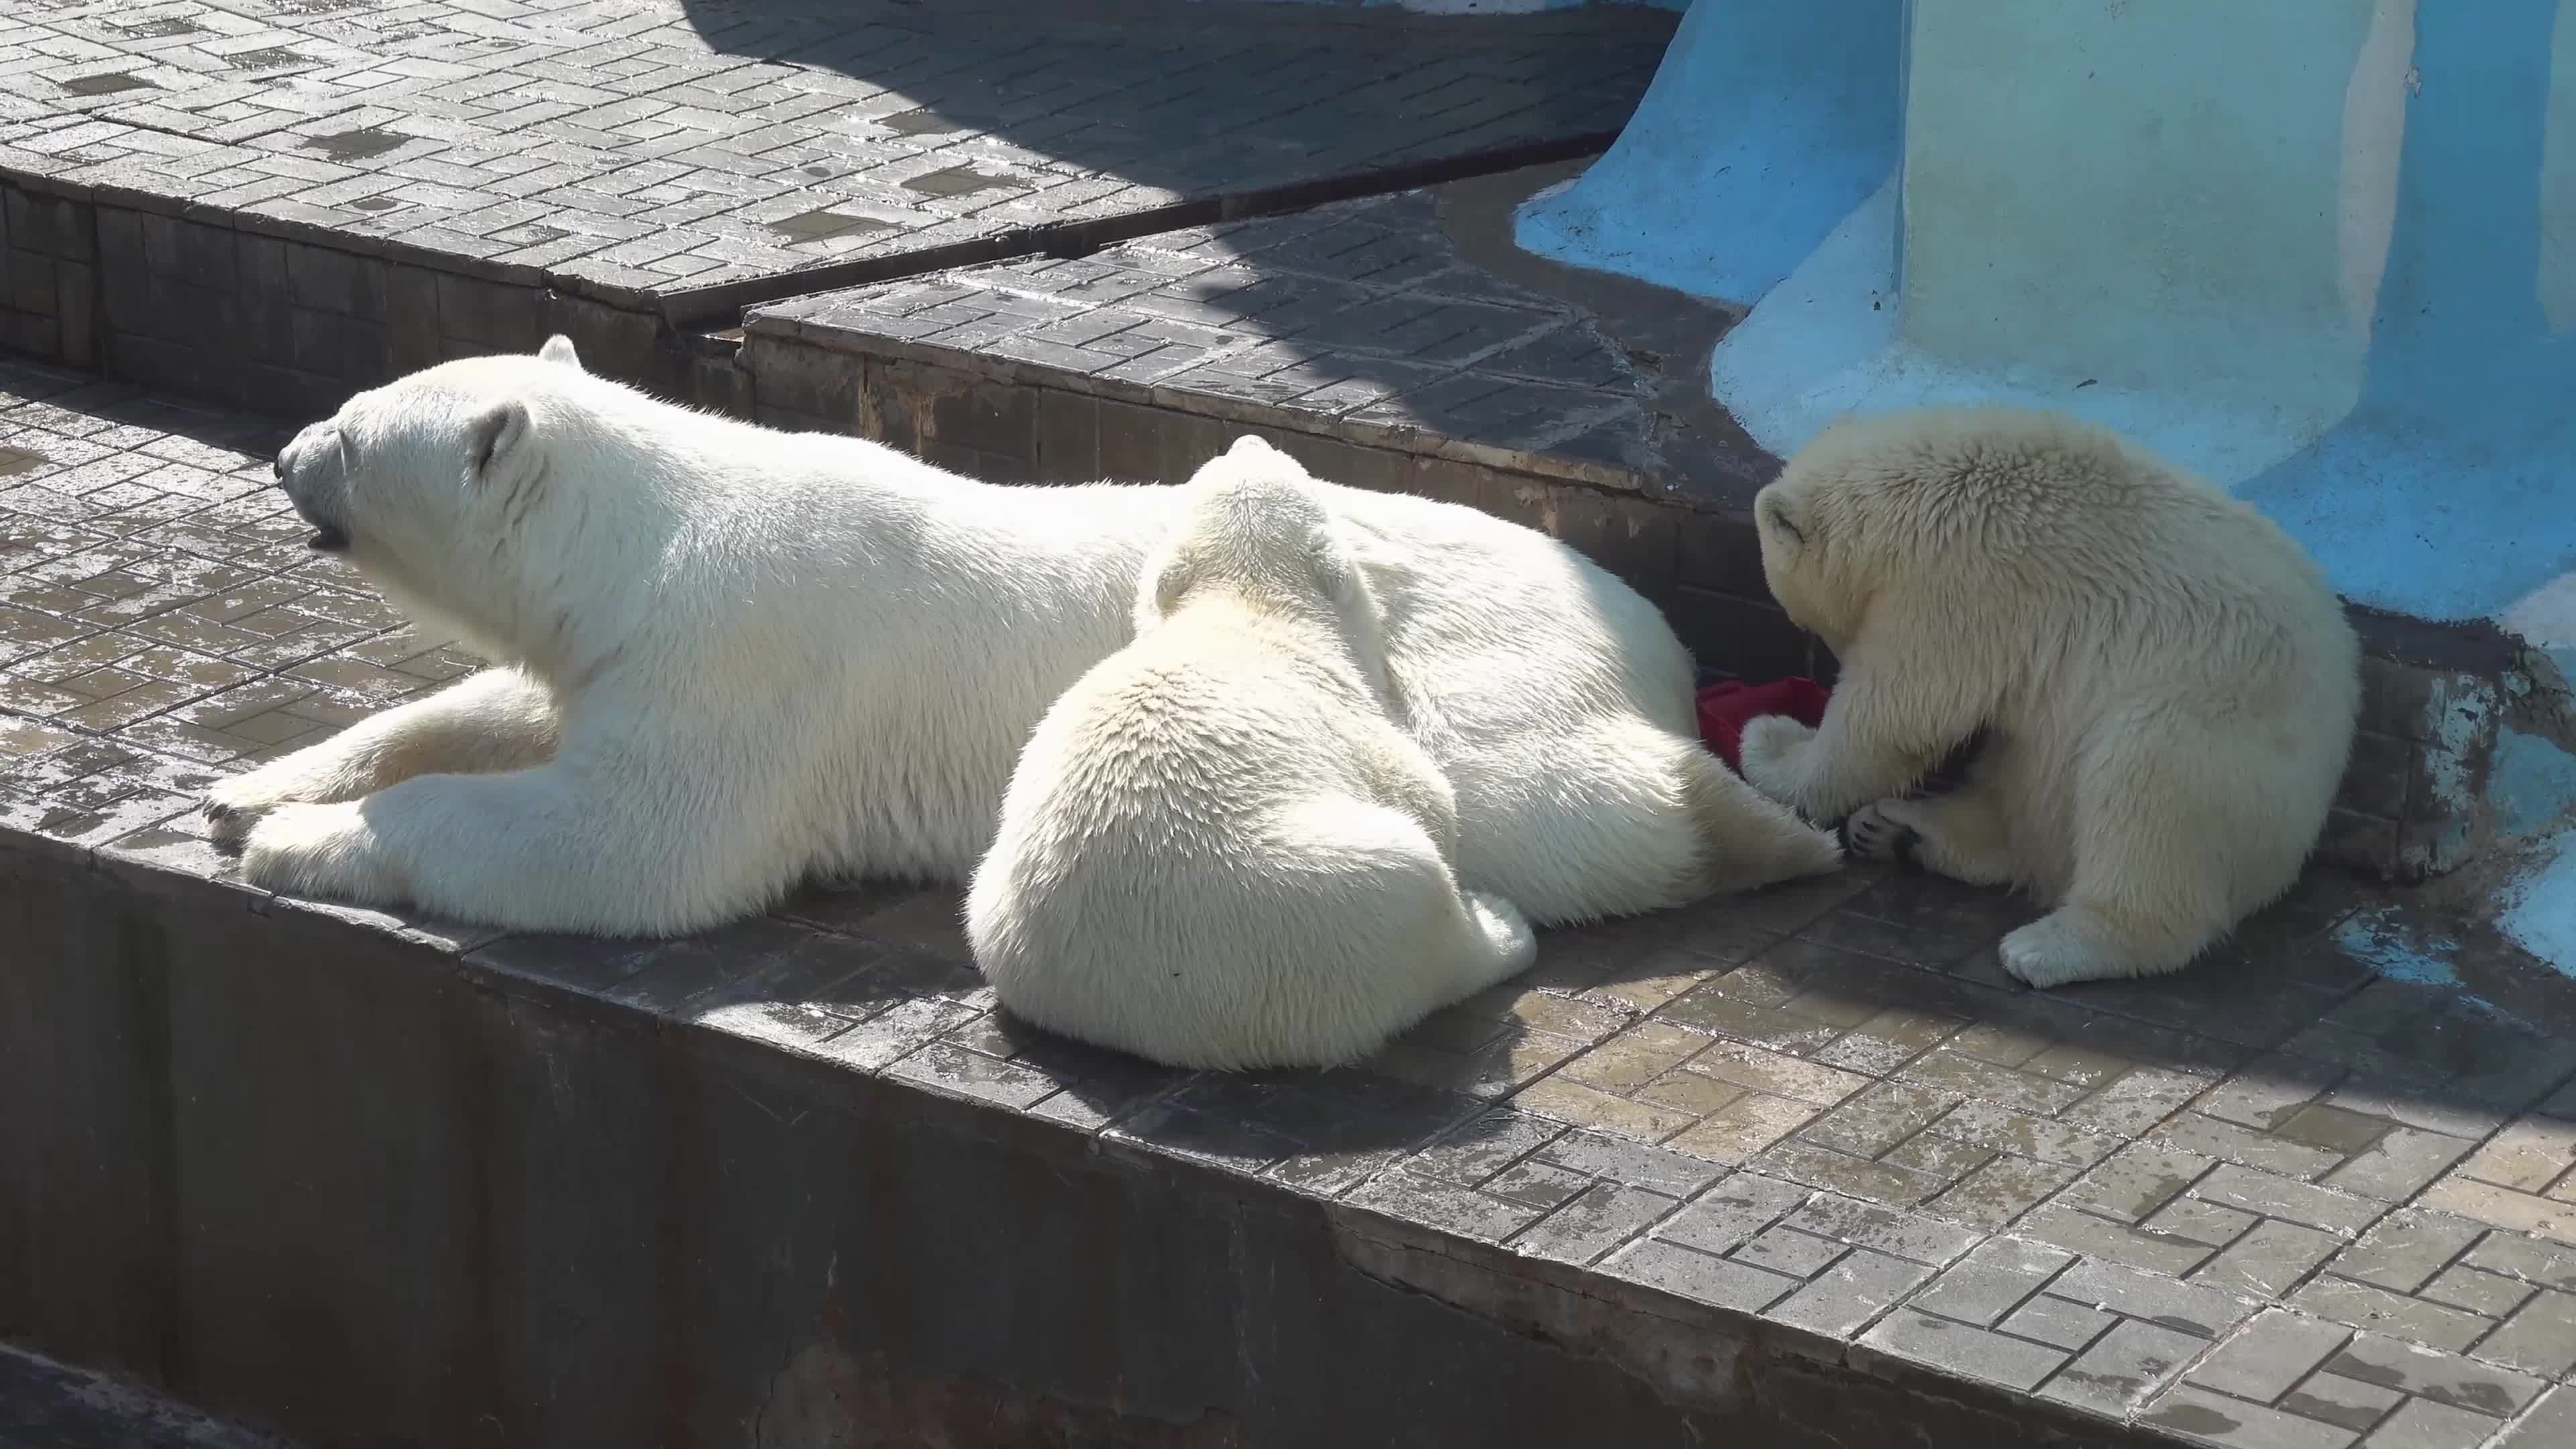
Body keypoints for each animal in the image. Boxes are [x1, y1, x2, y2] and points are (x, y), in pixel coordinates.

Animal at [211, 335, 1844, 938]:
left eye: (350, 427)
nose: (283, 451)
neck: (652, 533)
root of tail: (1632, 615)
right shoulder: (628, 652)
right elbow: (505, 705)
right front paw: (258, 784)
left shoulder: (743, 654)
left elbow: (631, 843)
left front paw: (303, 842)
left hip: (1462, 670)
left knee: (1560, 805)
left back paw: (1773, 820)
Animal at [963, 433, 1525, 1067]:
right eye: (1299, 473)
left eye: (1209, 470)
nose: (1248, 439)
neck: (1248, 606)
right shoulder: (1350, 720)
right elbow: (1427, 798)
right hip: (1327, 908)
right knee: (1420, 898)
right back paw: (1501, 927)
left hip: (997, 914)